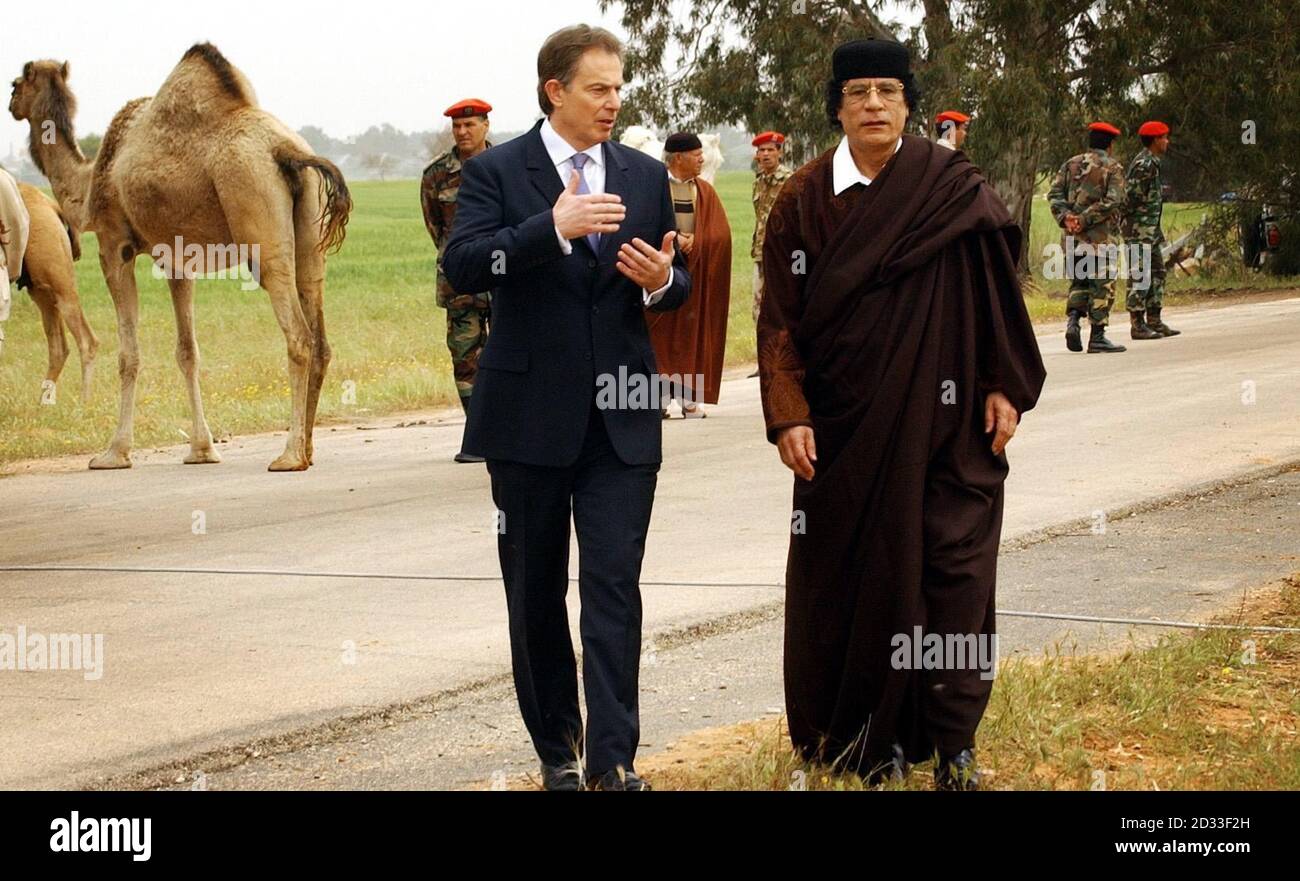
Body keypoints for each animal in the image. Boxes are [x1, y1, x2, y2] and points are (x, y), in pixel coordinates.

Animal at [17, 187, 98, 408]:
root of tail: (52, 205)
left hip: (58, 279)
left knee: (86, 340)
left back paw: (83, 403)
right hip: (41, 290)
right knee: (59, 347)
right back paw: (42, 403)